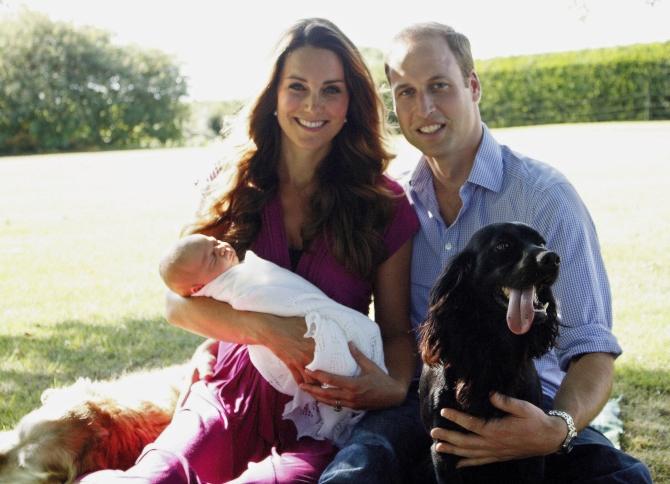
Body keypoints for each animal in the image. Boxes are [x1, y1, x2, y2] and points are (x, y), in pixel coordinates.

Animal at [420, 223, 560, 484]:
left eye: (541, 243)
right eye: (503, 245)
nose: (552, 258)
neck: (494, 348)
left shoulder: (532, 447)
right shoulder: (443, 449)